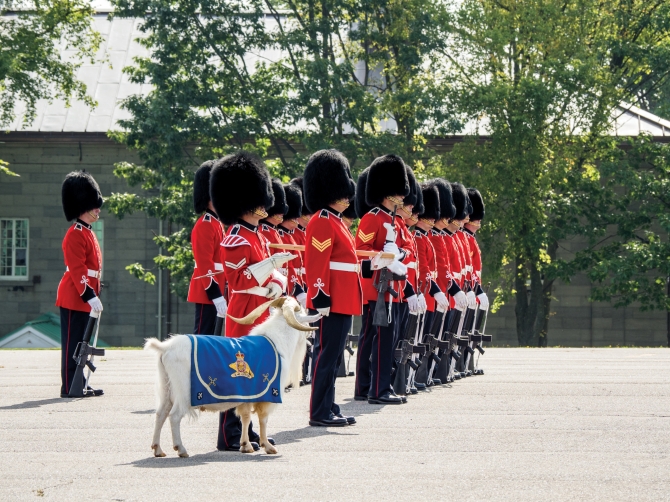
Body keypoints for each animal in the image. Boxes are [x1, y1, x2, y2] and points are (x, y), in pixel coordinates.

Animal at [144, 296, 320, 456]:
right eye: (301, 311)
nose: (311, 334)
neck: (276, 341)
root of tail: (166, 348)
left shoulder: (248, 394)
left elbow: (246, 417)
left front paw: (246, 445)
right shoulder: (269, 393)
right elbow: (263, 419)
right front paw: (268, 446)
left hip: (167, 389)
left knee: (160, 414)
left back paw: (158, 449)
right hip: (184, 393)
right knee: (174, 416)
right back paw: (181, 449)